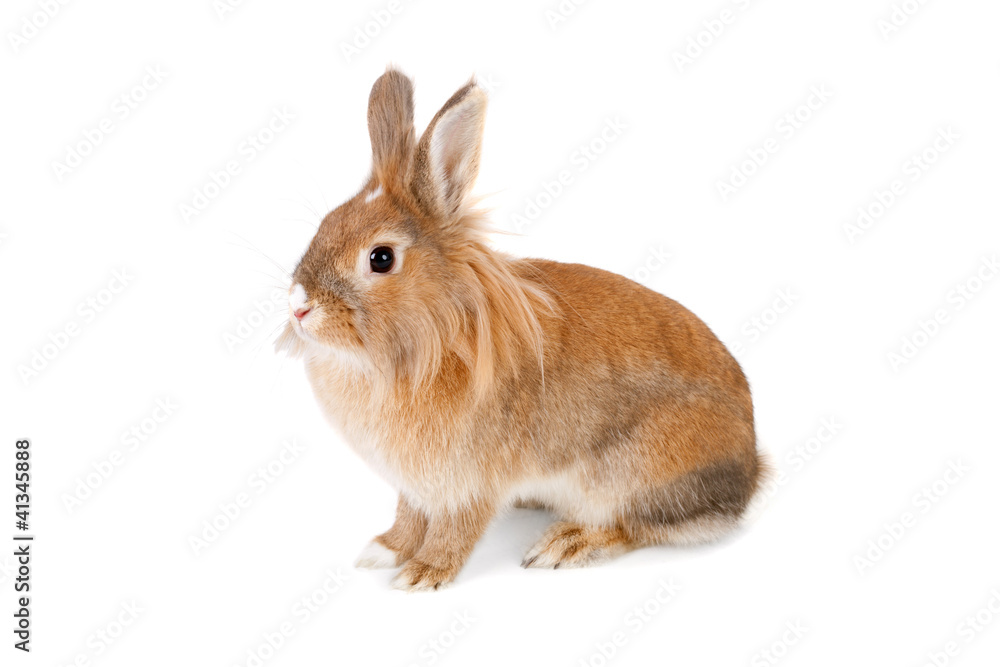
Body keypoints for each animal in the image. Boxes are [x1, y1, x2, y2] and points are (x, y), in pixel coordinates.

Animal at [276, 68, 767, 591]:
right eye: (326, 223)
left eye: (381, 258)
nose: (299, 306)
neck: (432, 335)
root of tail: (751, 470)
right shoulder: (415, 486)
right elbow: (408, 517)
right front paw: (383, 551)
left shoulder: (468, 481)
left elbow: (455, 529)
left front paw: (423, 575)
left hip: (631, 476)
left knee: (632, 526)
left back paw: (564, 545)